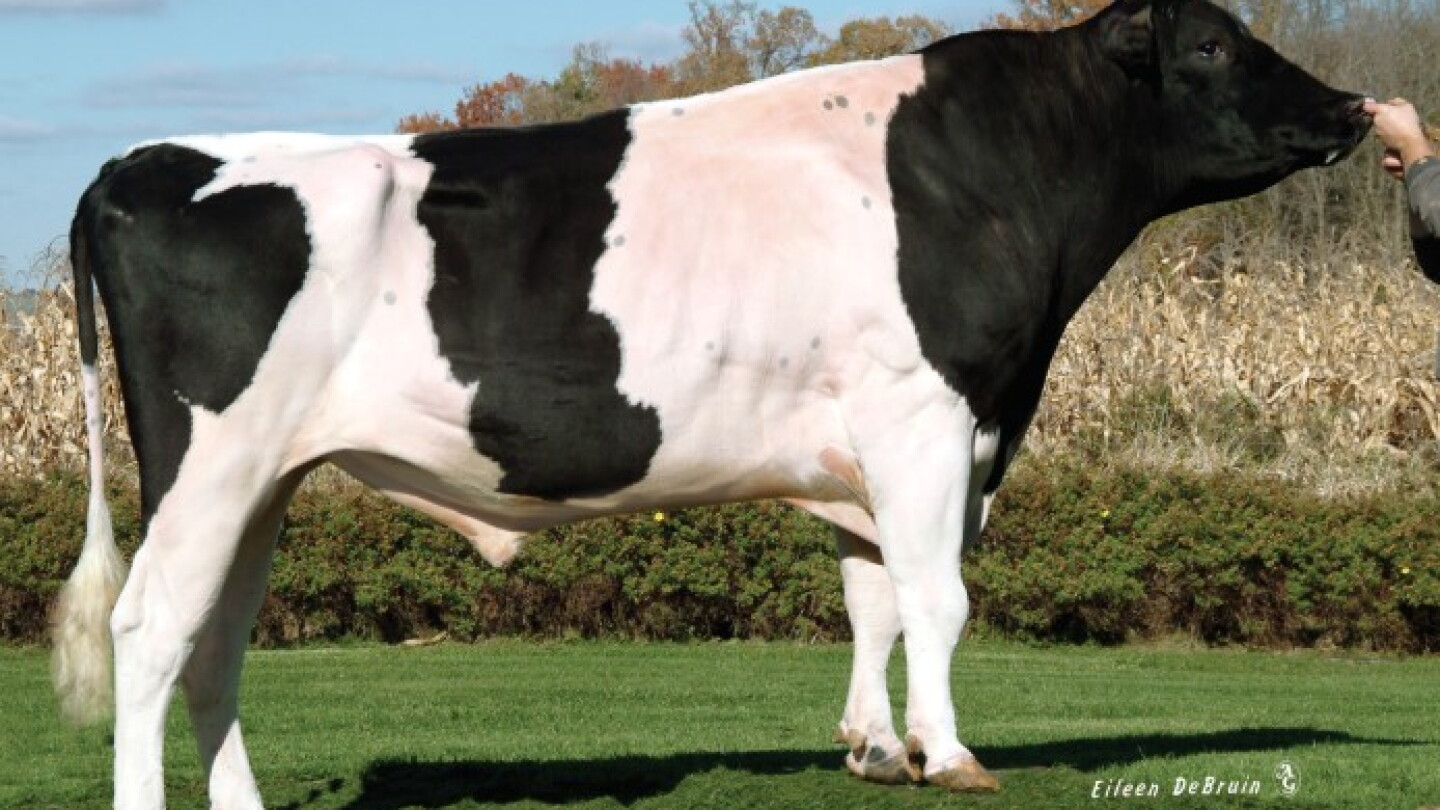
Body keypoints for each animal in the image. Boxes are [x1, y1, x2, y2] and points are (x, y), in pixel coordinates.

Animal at [53, 1, 1370, 807]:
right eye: (1212, 47)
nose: (1355, 108)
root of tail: (143, 158)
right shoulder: (929, 417)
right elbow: (937, 597)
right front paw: (948, 753)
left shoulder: (869, 444)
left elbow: (872, 599)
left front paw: (875, 747)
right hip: (211, 463)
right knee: (151, 628)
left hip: (265, 480)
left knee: (216, 641)